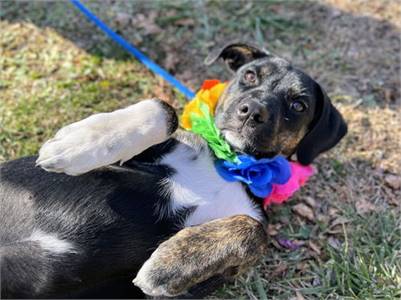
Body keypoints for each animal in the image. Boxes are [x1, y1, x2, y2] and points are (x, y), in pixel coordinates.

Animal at [0, 42, 346, 298]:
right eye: (249, 76)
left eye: (298, 106)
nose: (252, 112)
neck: (231, 165)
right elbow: (163, 110)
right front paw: (76, 143)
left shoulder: (182, 292)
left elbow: (254, 230)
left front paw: (169, 264)